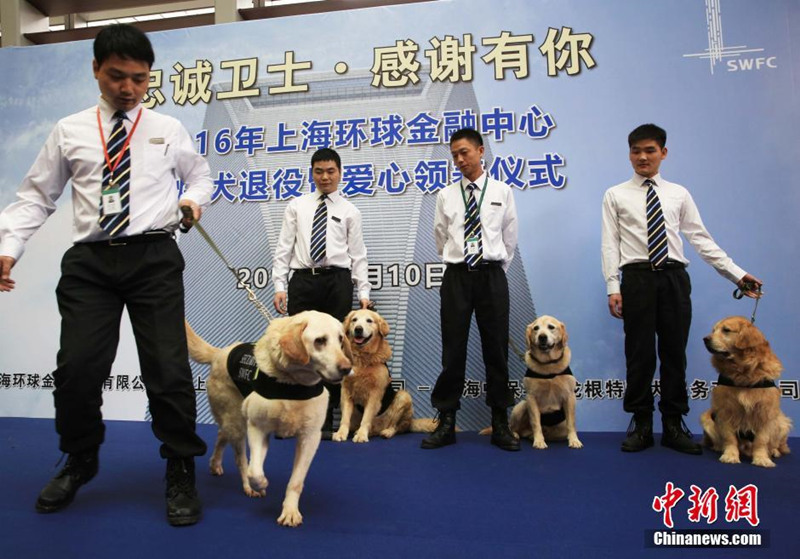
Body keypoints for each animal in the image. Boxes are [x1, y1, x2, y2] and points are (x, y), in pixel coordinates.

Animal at [188, 312, 354, 528]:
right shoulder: (257, 428)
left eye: (341, 339)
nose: (347, 368)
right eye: (320, 340)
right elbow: (254, 471)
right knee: (240, 458)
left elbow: (296, 481)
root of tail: (219, 353)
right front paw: (260, 484)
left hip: (232, 420)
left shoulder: (310, 437)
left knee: (221, 434)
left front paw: (290, 511)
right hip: (237, 422)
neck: (293, 384)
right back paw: (247, 486)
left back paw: (215, 463)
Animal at [332, 308, 434, 444]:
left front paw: (361, 435)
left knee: (397, 427)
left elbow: (366, 418)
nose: (358, 329)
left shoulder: (374, 394)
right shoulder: (346, 392)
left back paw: (386, 432)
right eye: (354, 320)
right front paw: (341, 433)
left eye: (369, 320)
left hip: (403, 396)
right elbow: (345, 418)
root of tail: (410, 422)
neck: (362, 359)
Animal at [696, 316, 792, 468]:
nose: (705, 339)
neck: (743, 373)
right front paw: (730, 455)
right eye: (713, 330)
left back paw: (774, 451)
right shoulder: (725, 411)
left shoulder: (766, 412)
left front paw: (761, 458)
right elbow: (730, 438)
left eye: (726, 330)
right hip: (707, 417)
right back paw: (718, 447)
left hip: (782, 422)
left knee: (777, 444)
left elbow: (761, 440)